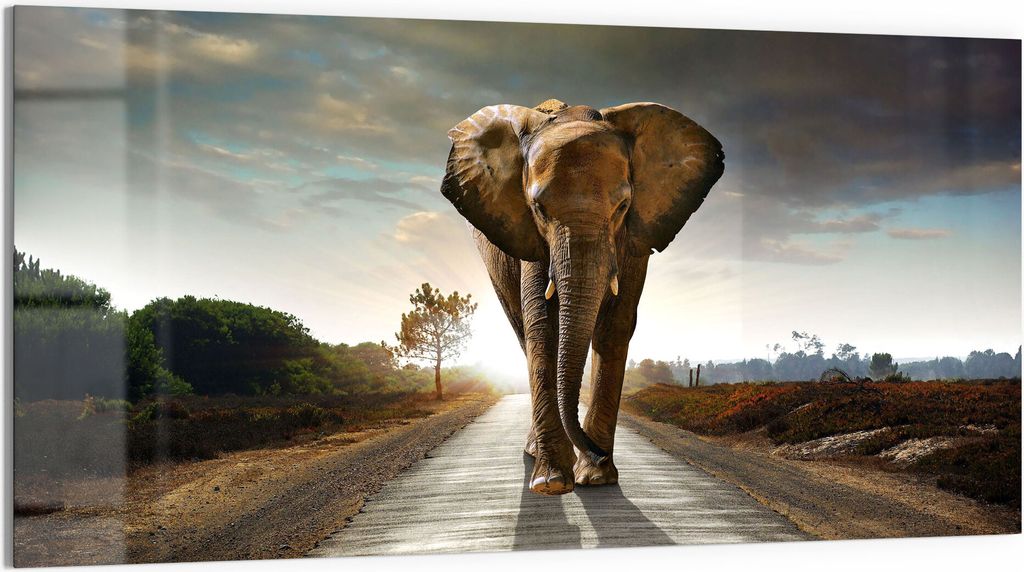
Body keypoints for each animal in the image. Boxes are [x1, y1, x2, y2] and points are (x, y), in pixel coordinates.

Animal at [440, 99, 724, 495]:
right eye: (539, 209)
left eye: (622, 207)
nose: (598, 452)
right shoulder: (529, 236)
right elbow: (543, 325)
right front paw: (553, 482)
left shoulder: (635, 236)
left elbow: (616, 325)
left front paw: (597, 477)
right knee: (523, 332)